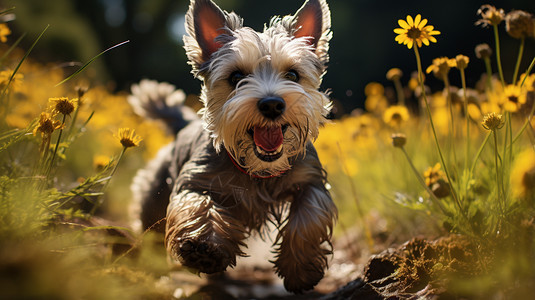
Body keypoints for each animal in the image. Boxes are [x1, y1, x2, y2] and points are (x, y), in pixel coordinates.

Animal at [129, 0, 338, 292]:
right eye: (236, 76)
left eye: (293, 74)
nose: (272, 104)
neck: (257, 168)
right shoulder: (196, 179)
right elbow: (199, 203)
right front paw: (201, 247)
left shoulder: (310, 180)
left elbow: (309, 215)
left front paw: (301, 269)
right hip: (153, 195)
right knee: (150, 229)